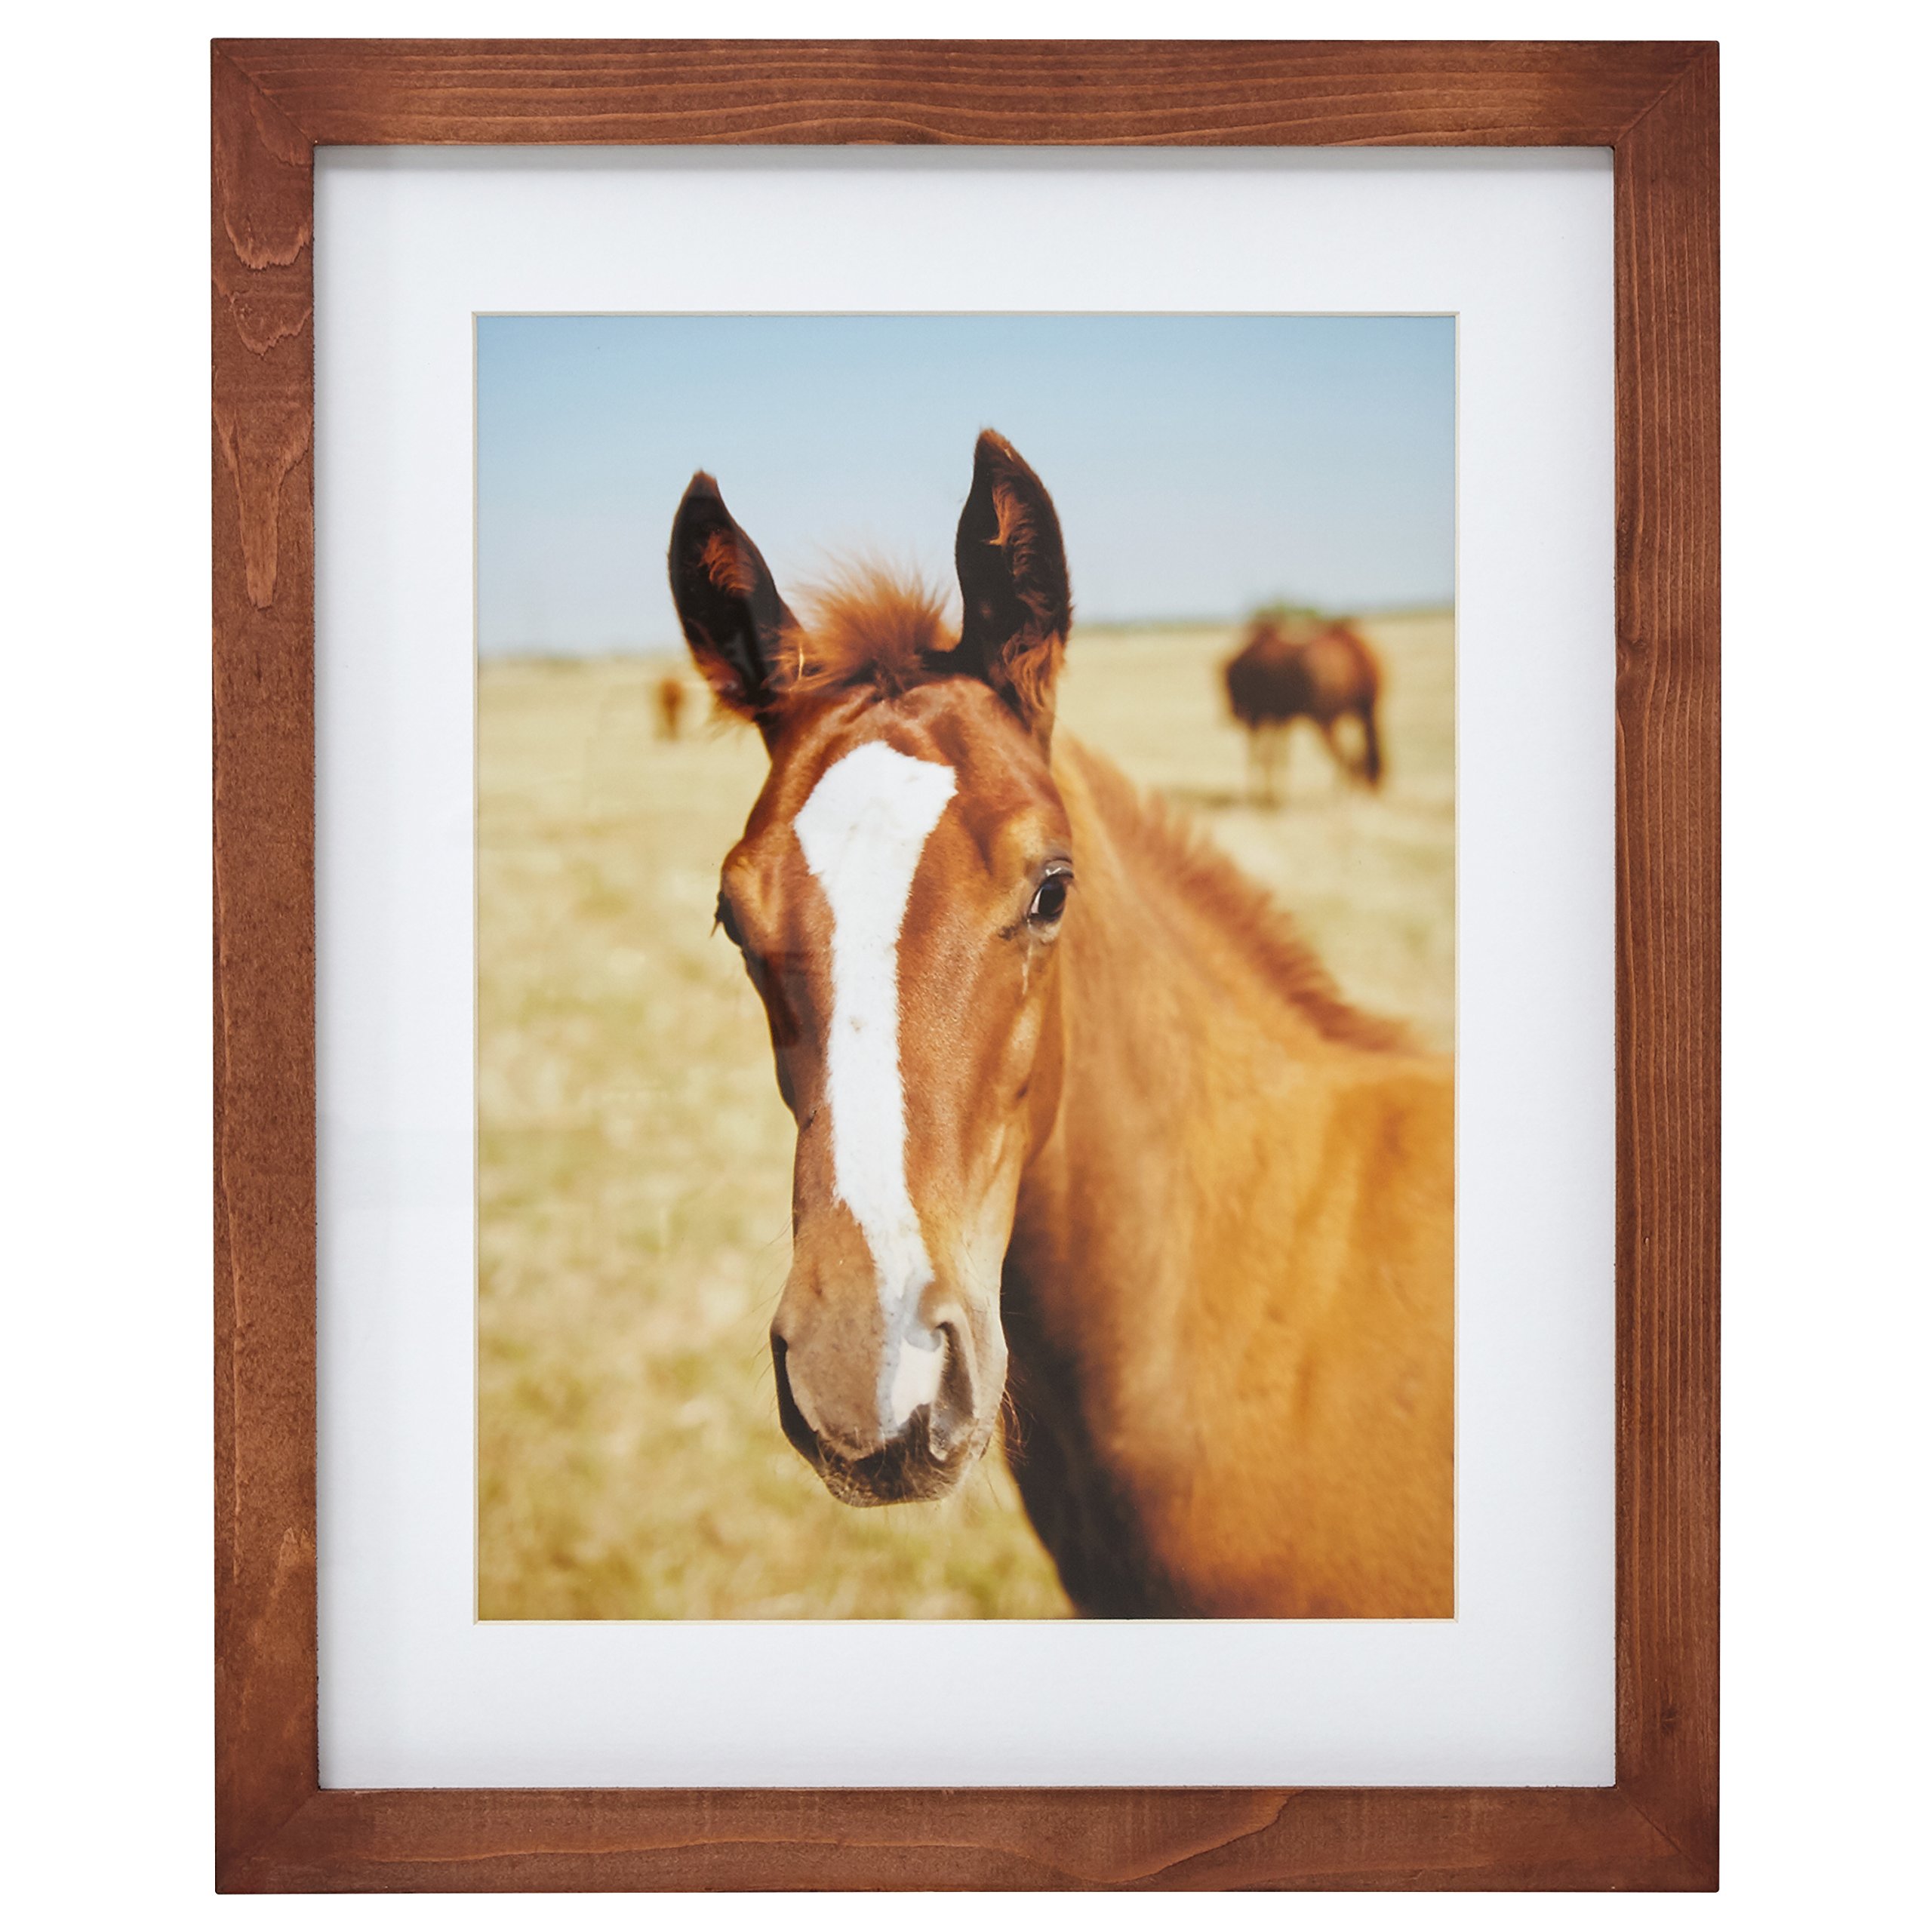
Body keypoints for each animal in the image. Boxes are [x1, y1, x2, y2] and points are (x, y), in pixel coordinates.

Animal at [1223, 616, 1385, 806]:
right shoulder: (1277, 718)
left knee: (1347, 757)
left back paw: (1341, 794)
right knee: (1352, 755)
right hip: (1344, 718)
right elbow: (1274, 756)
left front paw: (1261, 797)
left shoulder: (1259, 717)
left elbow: (1261, 756)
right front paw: (1272, 796)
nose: (1233, 714)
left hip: (1327, 721)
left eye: (1228, 683)